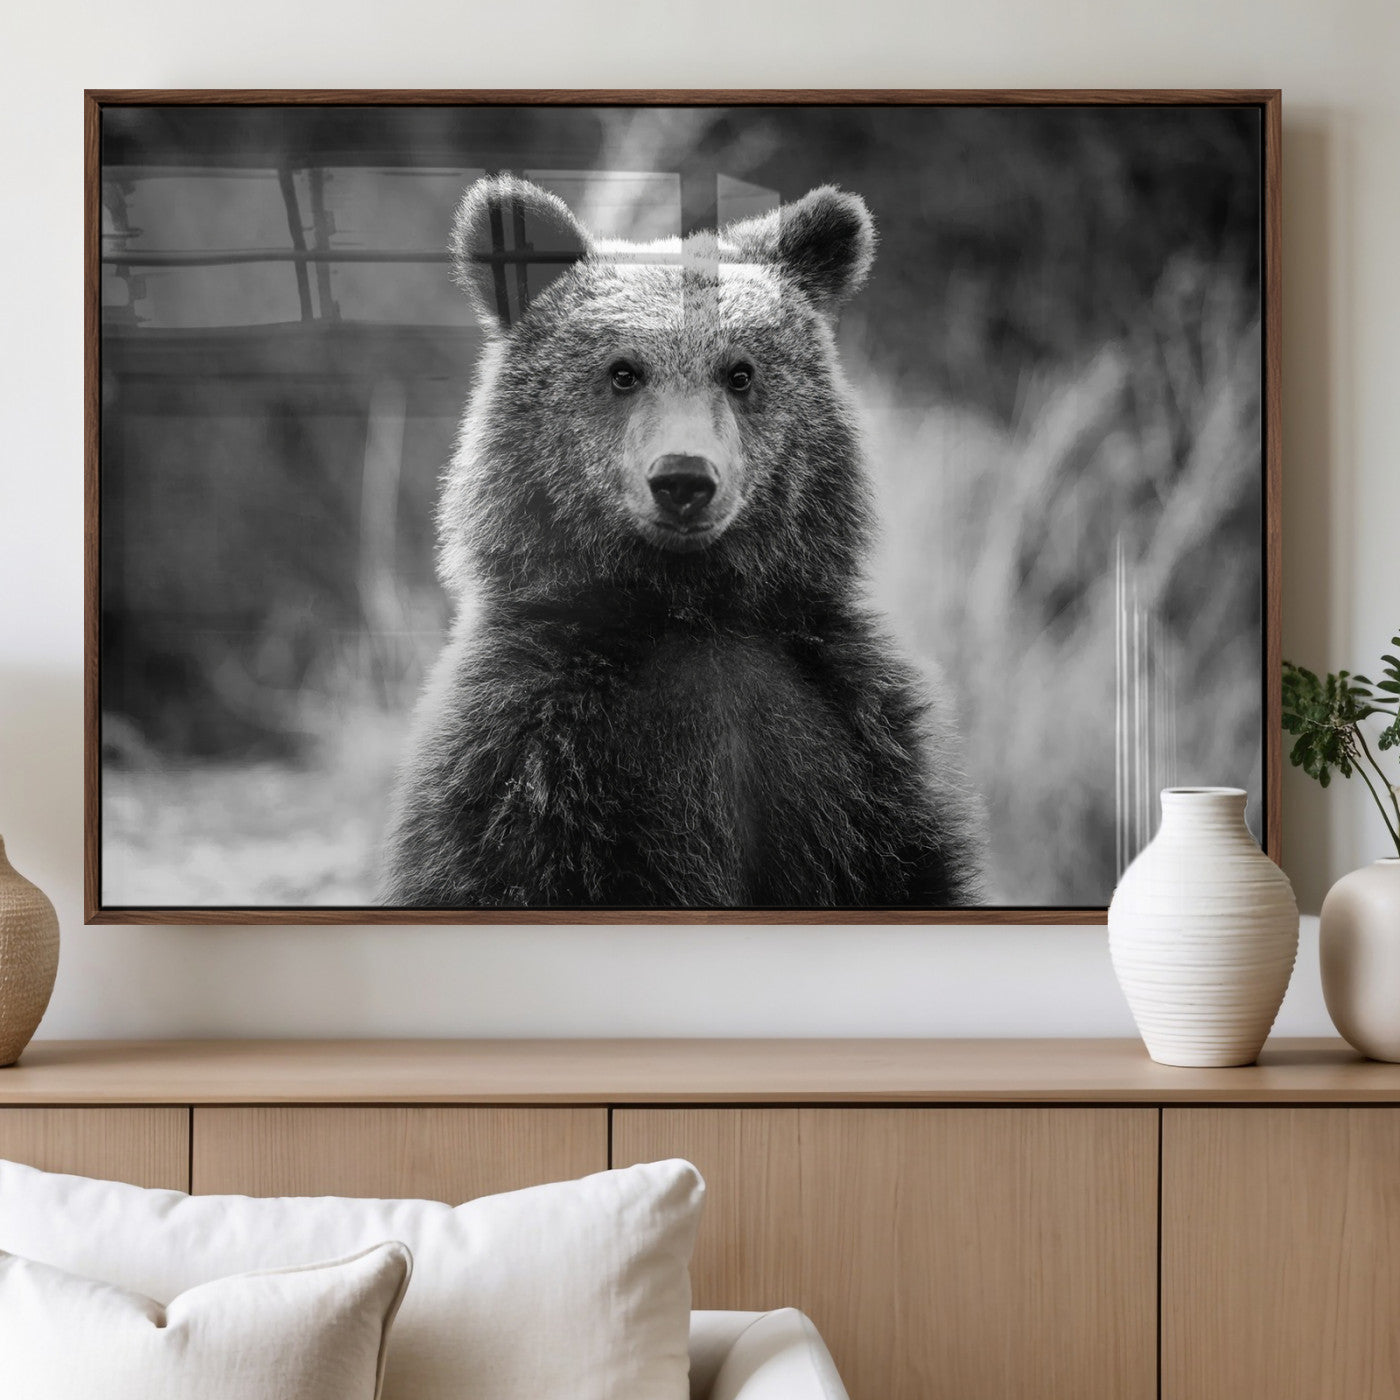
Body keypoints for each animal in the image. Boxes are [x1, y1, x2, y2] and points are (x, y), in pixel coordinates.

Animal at [379, 175, 983, 909]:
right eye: (623, 371)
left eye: (740, 372)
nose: (684, 478)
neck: (691, 610)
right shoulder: (526, 755)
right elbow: (495, 868)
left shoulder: (858, 747)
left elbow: (909, 867)